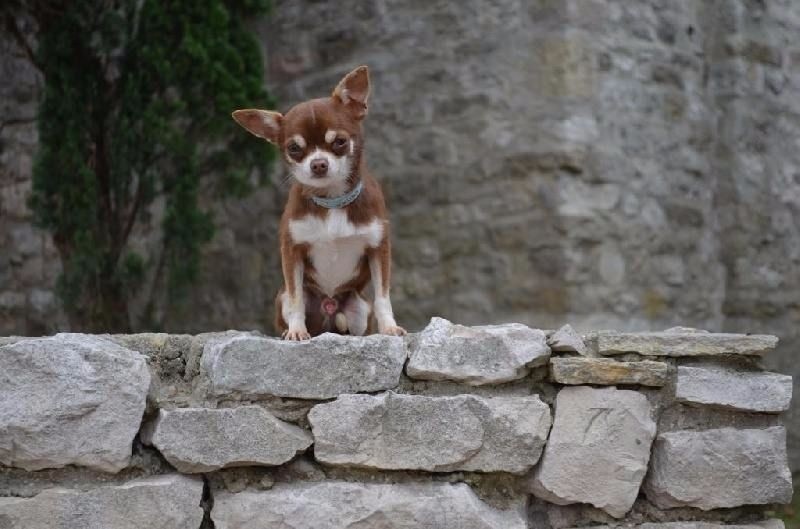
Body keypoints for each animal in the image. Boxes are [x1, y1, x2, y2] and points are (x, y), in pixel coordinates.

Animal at [231, 66, 406, 340]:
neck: (332, 201)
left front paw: (389, 327)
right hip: (283, 297)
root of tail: (329, 307)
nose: (318, 163)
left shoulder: (379, 249)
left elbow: (382, 296)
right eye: (294, 148)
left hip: (359, 308)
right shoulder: (292, 252)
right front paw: (296, 330)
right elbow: (296, 299)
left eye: (340, 141)